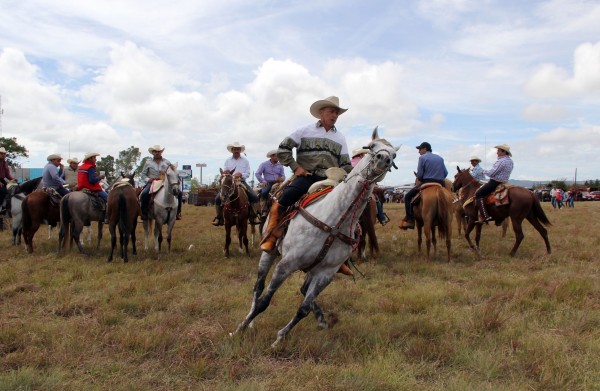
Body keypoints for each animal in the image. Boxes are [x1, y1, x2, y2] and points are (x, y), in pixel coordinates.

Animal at [233, 128, 398, 346]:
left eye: (393, 155)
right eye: (371, 147)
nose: (383, 159)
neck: (335, 220)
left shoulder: (325, 274)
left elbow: (303, 308)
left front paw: (280, 338)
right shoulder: (286, 264)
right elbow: (264, 301)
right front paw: (239, 329)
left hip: (311, 269)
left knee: (303, 292)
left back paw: (321, 320)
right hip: (269, 253)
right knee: (258, 288)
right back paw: (250, 321)